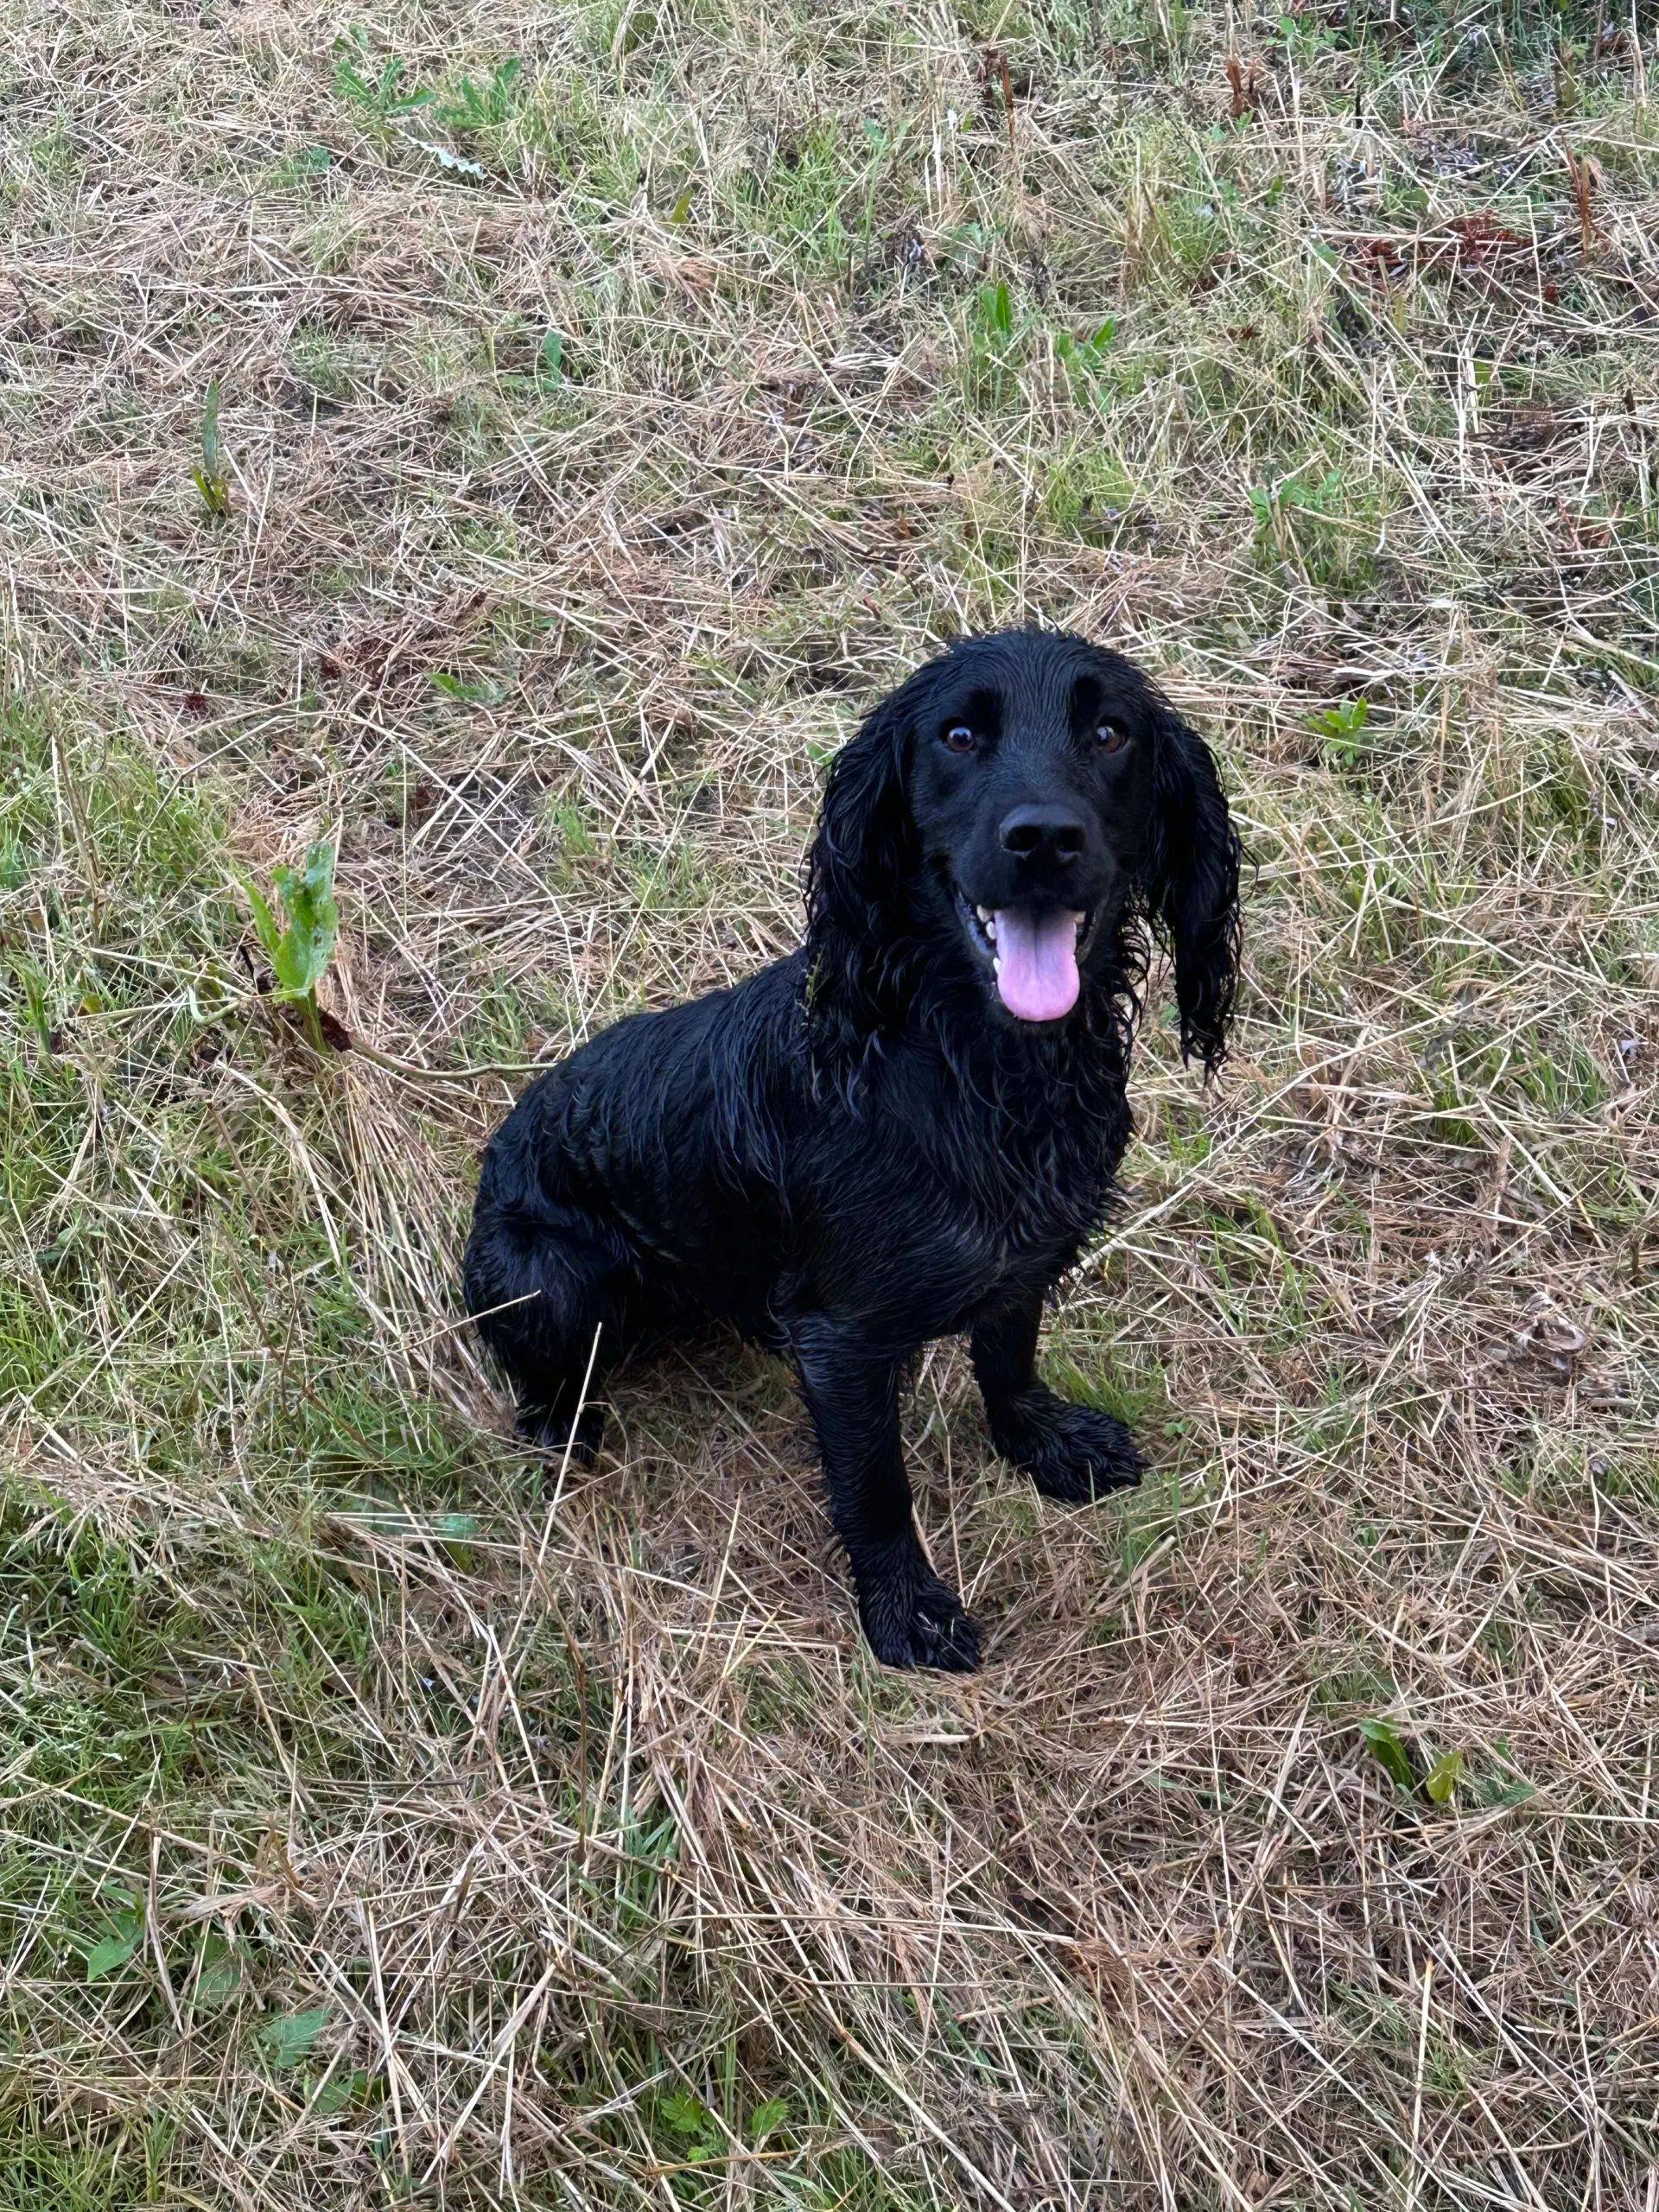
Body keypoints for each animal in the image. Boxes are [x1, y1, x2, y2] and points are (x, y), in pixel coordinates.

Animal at [462, 632, 1238, 1663]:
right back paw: (566, 1436)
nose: (1043, 839)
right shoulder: (841, 1344)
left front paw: (1044, 1446)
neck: (982, 1073)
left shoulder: (1023, 1261)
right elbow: (876, 1489)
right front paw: (907, 1609)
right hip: (550, 1284)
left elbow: (1010, 1363)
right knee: (541, 1386)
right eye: (958, 735)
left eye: (1111, 733)